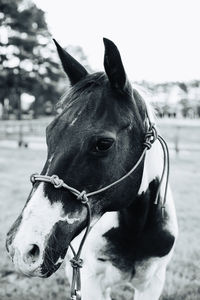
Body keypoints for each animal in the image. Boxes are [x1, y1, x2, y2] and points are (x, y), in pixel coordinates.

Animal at [5, 38, 178, 300]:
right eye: (48, 133)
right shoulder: (90, 281)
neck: (136, 227)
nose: (22, 246)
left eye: (103, 144)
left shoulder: (152, 283)